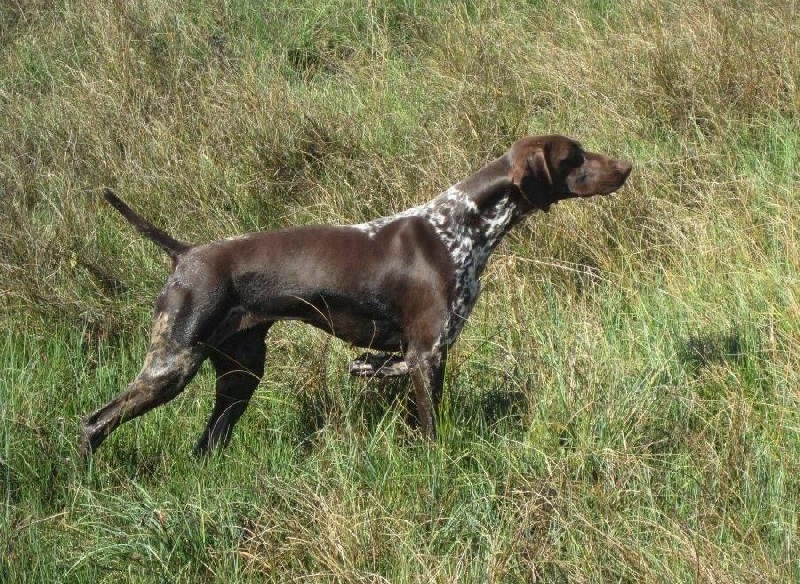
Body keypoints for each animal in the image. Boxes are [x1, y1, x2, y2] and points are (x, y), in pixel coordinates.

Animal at [81, 136, 632, 456]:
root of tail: (186, 253)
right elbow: (430, 429)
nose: (627, 166)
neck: (461, 225)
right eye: (574, 157)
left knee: (207, 443)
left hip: (240, 375)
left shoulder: (421, 355)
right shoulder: (427, 353)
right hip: (171, 365)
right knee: (94, 422)